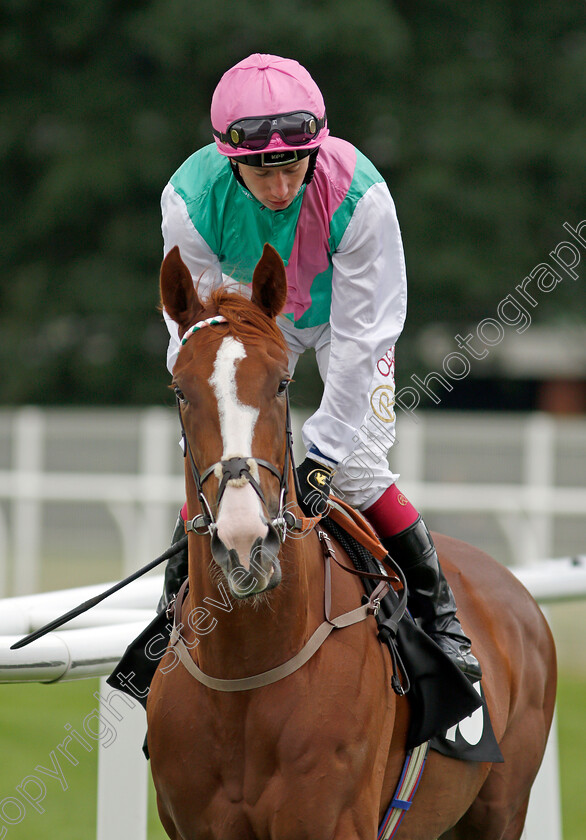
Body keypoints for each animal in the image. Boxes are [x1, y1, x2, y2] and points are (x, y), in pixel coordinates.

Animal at [146, 243, 552, 840]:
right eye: (180, 389)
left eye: (282, 384)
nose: (245, 539)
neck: (246, 669)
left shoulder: (329, 820)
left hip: (500, 811)